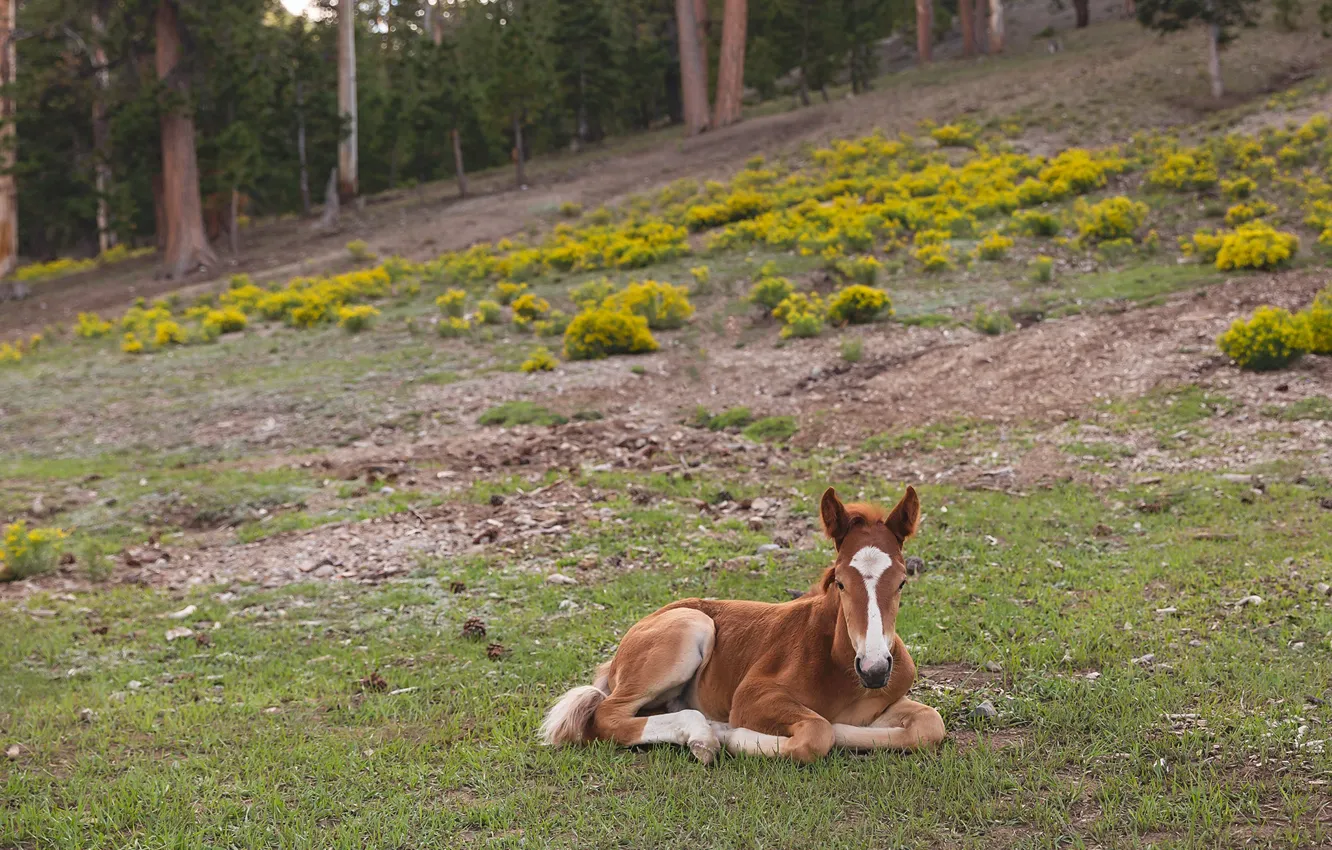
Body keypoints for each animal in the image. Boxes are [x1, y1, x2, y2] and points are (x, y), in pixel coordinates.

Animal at [541, 486, 945, 763]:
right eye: (841, 582)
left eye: (902, 582)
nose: (875, 670)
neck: (841, 669)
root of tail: (618, 655)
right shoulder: (753, 696)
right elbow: (818, 731)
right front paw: (734, 734)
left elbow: (930, 724)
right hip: (691, 626)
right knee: (607, 715)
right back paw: (707, 735)